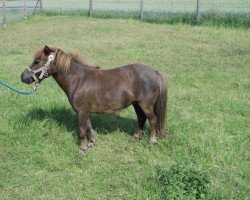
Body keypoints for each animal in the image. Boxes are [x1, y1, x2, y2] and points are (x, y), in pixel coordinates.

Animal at [20, 45, 171, 155]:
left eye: (37, 61)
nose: (23, 77)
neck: (78, 80)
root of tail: (154, 72)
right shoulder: (85, 112)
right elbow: (89, 127)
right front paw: (91, 143)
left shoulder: (81, 112)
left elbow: (82, 130)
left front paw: (82, 149)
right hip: (137, 105)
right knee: (141, 119)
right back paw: (135, 138)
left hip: (145, 105)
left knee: (153, 120)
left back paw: (152, 141)